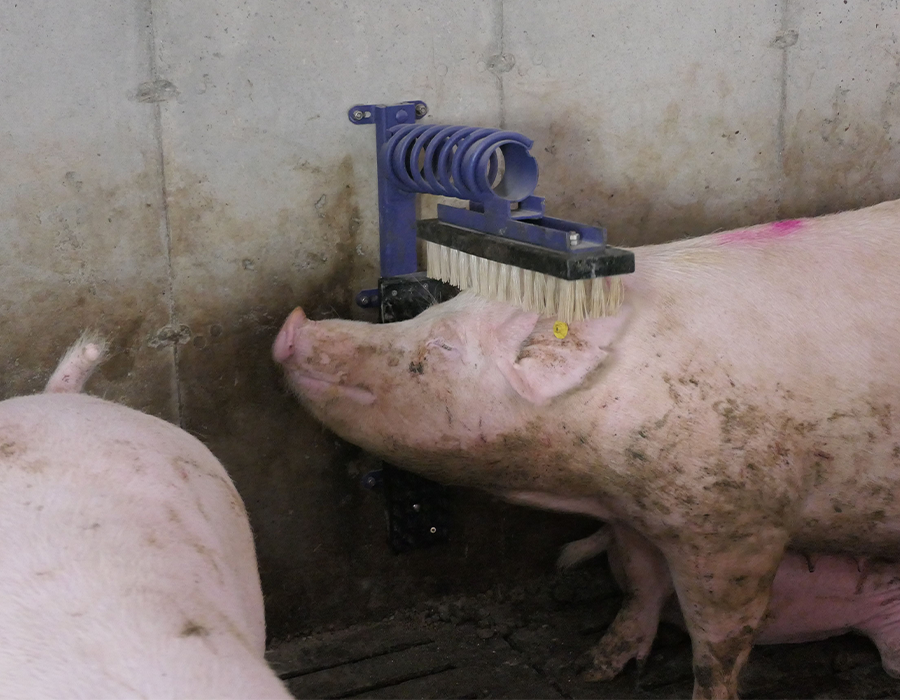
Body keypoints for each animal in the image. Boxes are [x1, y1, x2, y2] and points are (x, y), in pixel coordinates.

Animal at [274, 197, 900, 698]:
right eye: (428, 312)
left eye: (443, 346)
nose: (294, 323)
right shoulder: (631, 513)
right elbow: (642, 583)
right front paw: (594, 668)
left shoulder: (740, 523)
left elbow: (719, 641)